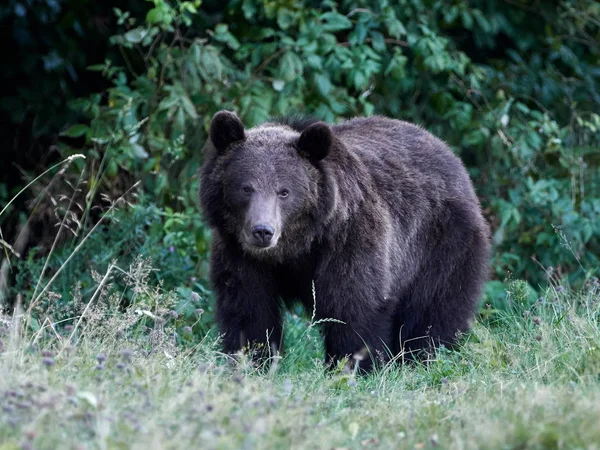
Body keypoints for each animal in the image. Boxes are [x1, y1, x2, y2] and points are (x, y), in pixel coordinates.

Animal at [199, 110, 490, 370]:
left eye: (284, 191)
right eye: (246, 187)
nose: (262, 231)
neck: (298, 247)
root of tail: (448, 153)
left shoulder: (350, 241)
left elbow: (354, 306)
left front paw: (354, 366)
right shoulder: (240, 254)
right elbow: (249, 311)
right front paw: (251, 361)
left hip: (441, 243)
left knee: (433, 308)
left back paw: (424, 358)